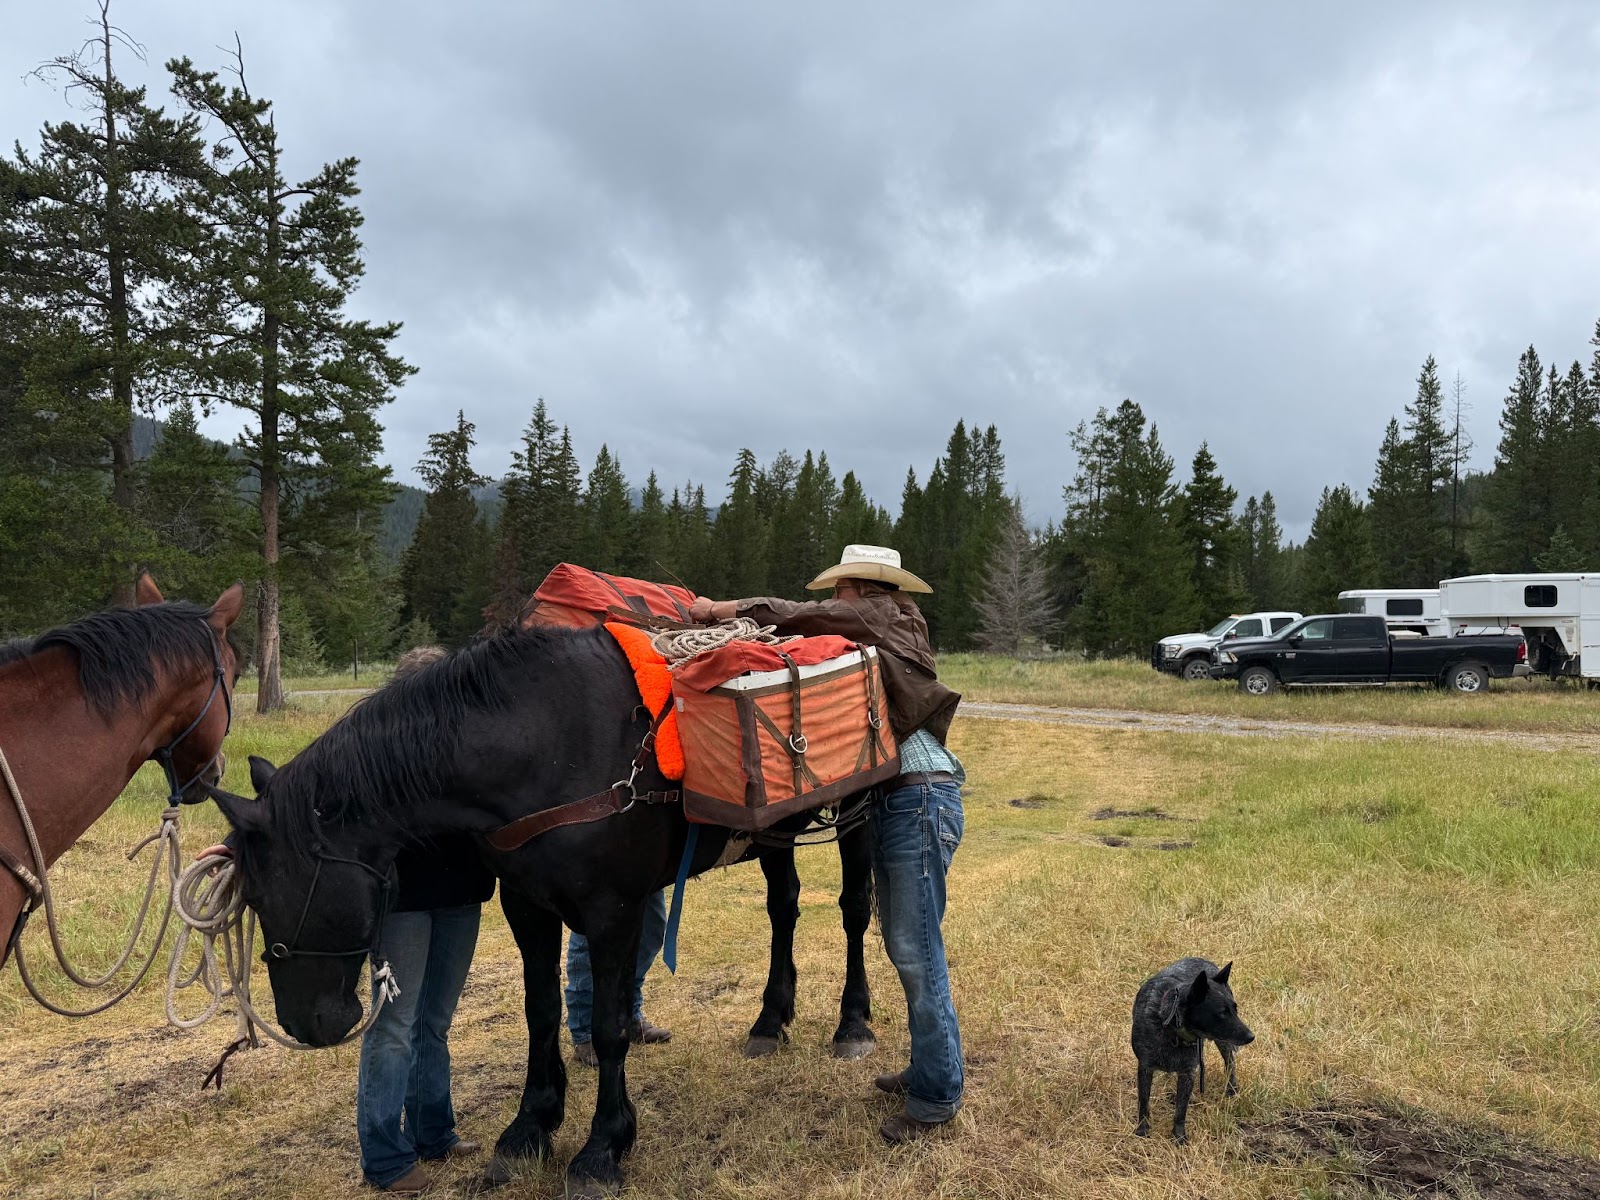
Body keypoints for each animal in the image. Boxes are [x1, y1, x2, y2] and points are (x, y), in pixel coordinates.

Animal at [207, 621, 886, 1198]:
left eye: (270, 894)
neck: (544, 745)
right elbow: (541, 1013)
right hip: (774, 832)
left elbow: (609, 1028)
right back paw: (770, 1020)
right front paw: (530, 1126)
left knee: (854, 911)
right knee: (783, 908)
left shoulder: (613, 911)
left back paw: (852, 1024)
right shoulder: (527, 906)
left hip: (857, 814)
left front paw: (602, 1148)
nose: (302, 1024)